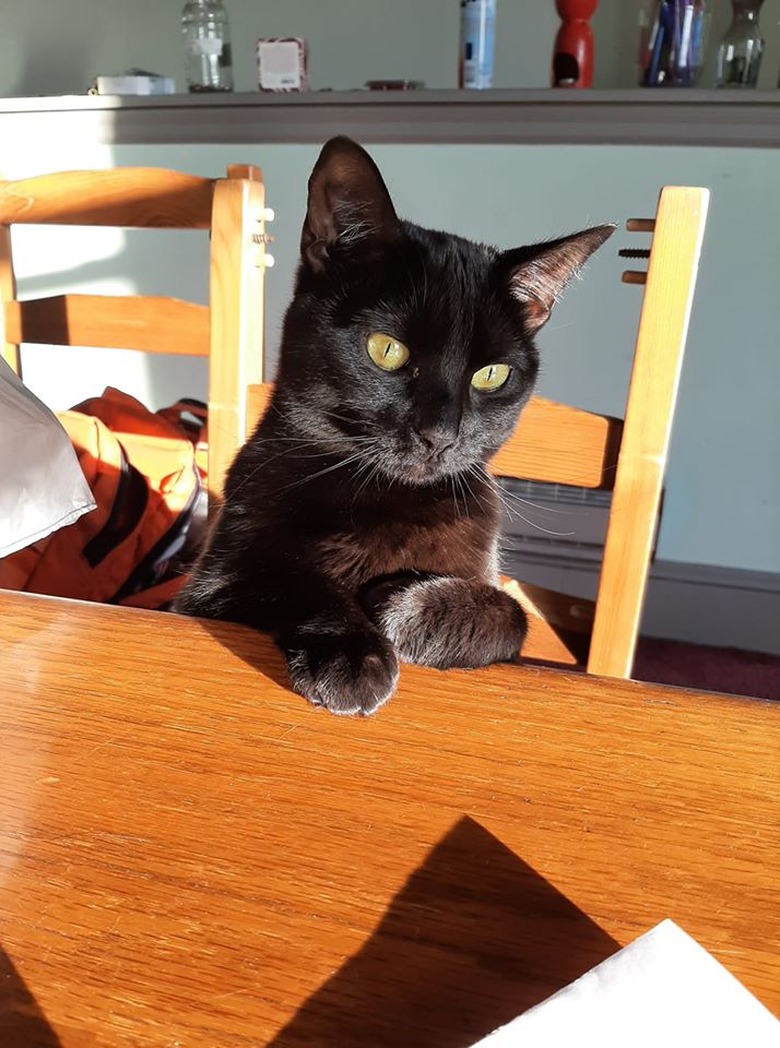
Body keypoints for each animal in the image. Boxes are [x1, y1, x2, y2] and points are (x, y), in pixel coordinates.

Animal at [175, 137, 608, 712]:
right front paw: (354, 652)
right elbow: (286, 578)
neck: (386, 501)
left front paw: (406, 610)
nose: (439, 435)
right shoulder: (210, 584)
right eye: (387, 350)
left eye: (492, 374)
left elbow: (511, 614)